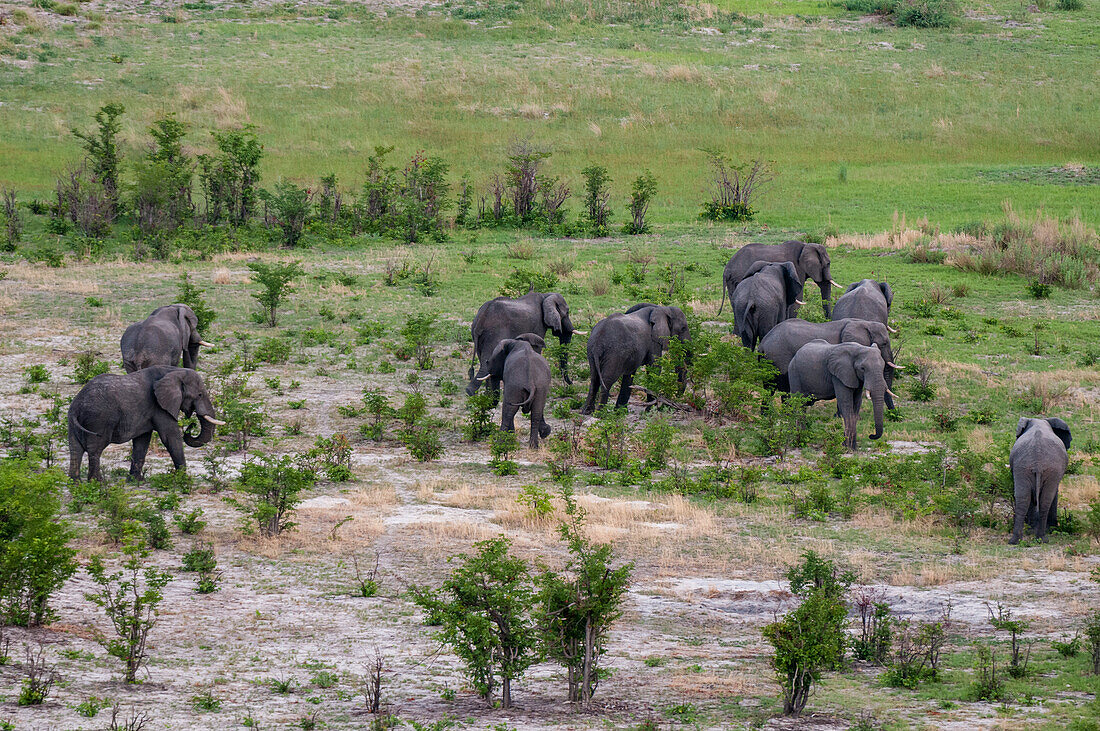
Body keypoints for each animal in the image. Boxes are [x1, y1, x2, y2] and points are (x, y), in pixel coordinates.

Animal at [66, 362, 225, 479]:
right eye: (199, 394)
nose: (191, 425)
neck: (175, 371)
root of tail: (76, 405)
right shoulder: (159, 407)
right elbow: (170, 437)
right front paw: (184, 479)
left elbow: (142, 441)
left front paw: (135, 480)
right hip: (99, 419)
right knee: (95, 449)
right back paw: (97, 483)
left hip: (73, 421)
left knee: (75, 449)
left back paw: (75, 483)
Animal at [761, 314, 897, 406]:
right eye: (884, 343)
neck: (865, 323)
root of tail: (762, 343)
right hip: (779, 358)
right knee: (783, 389)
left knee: (769, 389)